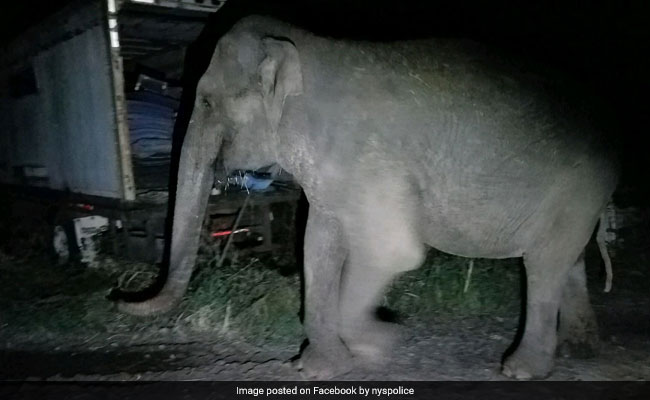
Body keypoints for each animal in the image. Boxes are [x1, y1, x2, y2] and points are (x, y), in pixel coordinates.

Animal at [116, 15, 619, 379]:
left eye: (205, 103)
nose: (121, 298)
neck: (303, 50)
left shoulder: (371, 161)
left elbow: (394, 251)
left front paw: (384, 338)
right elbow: (317, 244)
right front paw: (318, 366)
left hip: (578, 187)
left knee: (544, 265)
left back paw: (520, 370)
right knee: (566, 260)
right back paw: (579, 349)